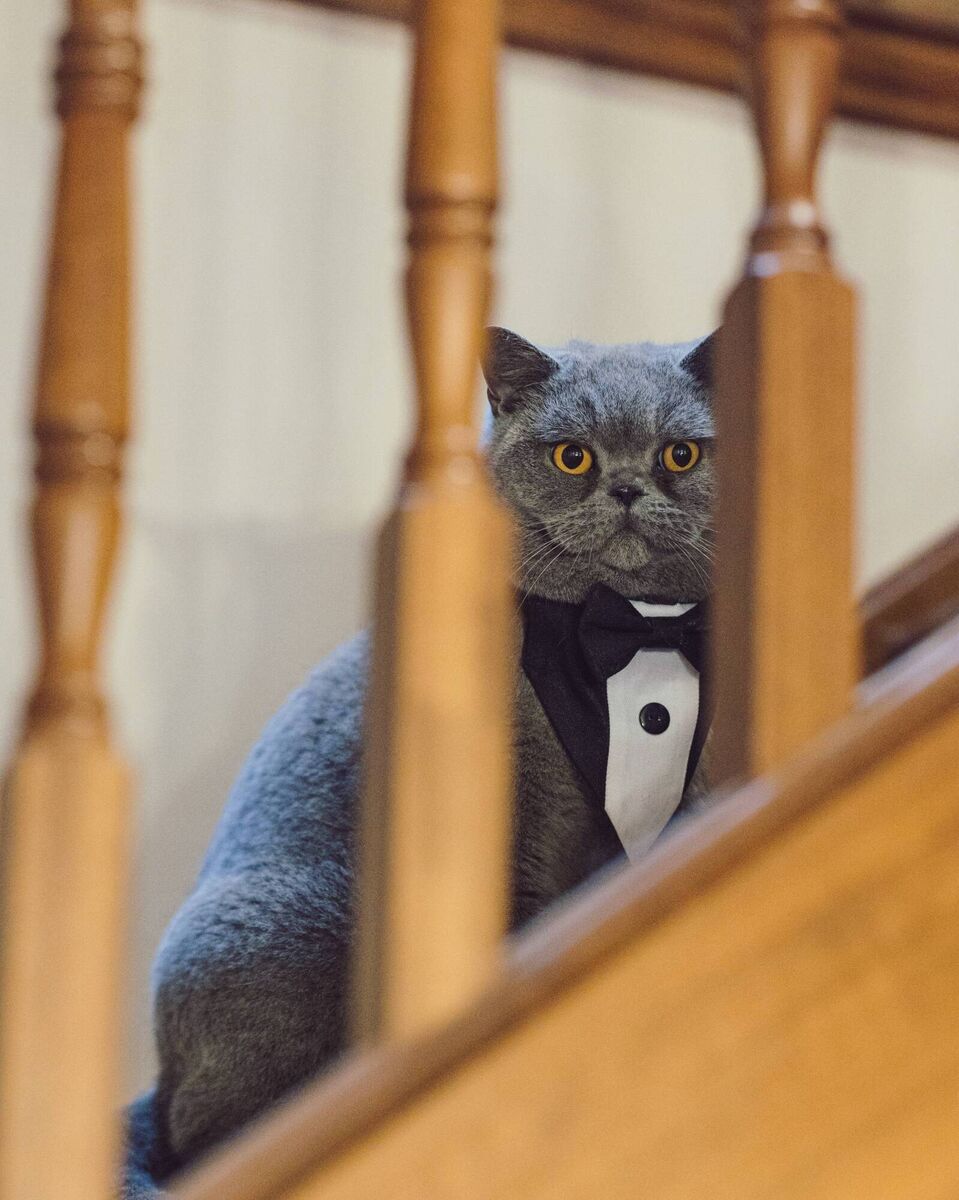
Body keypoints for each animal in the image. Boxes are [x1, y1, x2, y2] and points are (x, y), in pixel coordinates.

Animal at [122, 328, 717, 1197]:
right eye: (571, 457)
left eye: (680, 453)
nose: (628, 488)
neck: (633, 631)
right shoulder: (523, 822)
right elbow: (524, 919)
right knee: (215, 1134)